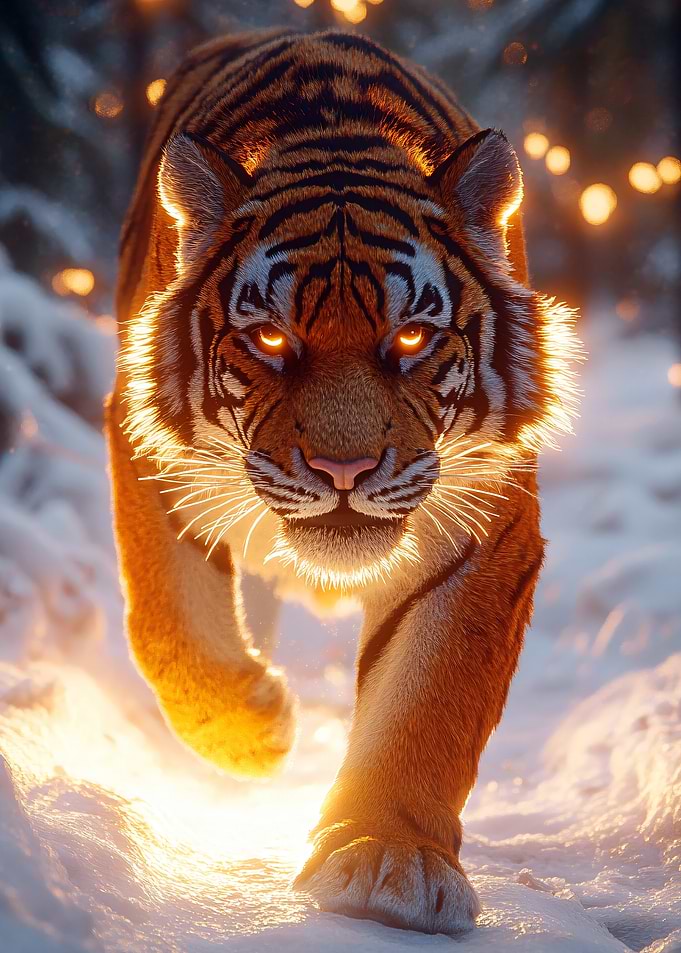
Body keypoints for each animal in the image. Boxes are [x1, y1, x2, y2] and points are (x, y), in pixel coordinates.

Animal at [106, 28, 579, 936]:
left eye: (411, 338)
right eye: (267, 338)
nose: (344, 469)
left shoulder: (480, 524)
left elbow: (427, 701)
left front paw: (389, 859)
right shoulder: (151, 452)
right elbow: (173, 622)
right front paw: (252, 730)